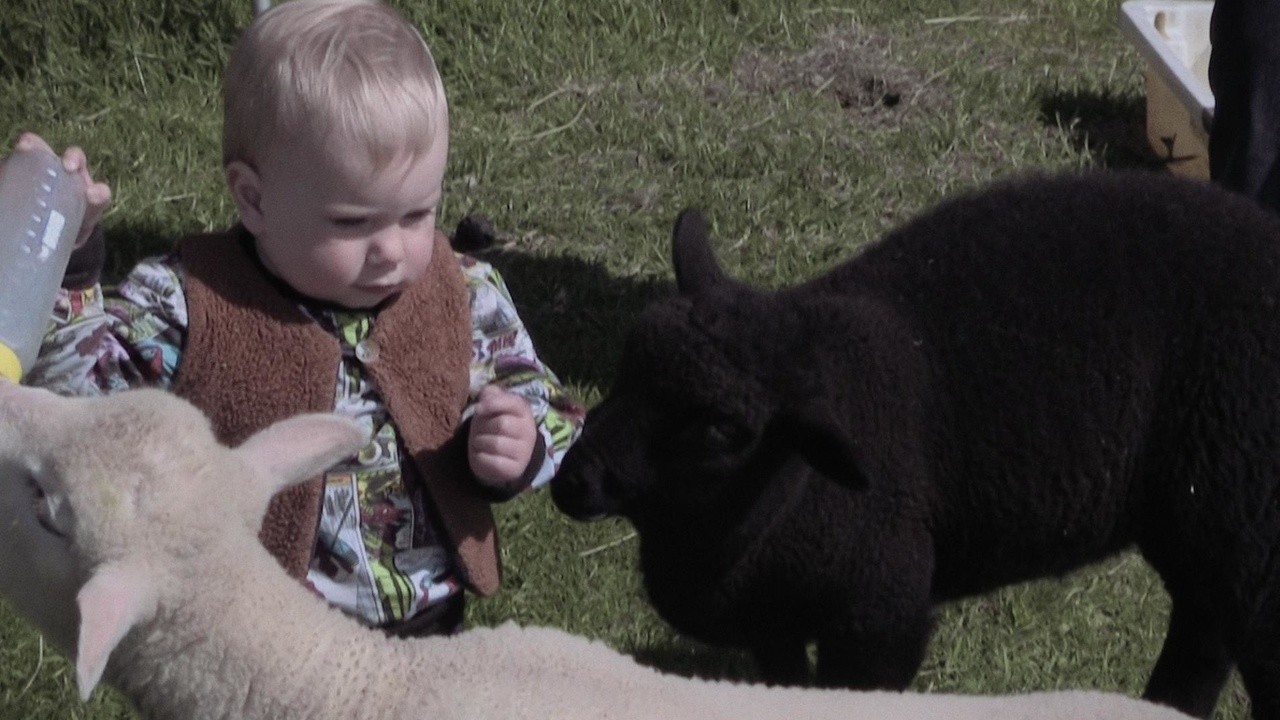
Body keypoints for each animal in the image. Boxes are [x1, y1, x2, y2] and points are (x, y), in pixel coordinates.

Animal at [555, 169, 1280, 717]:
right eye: (627, 363)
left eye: (718, 431)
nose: (572, 480)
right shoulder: (772, 625)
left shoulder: (879, 617)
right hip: (1199, 521)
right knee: (1203, 632)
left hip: (1243, 509)